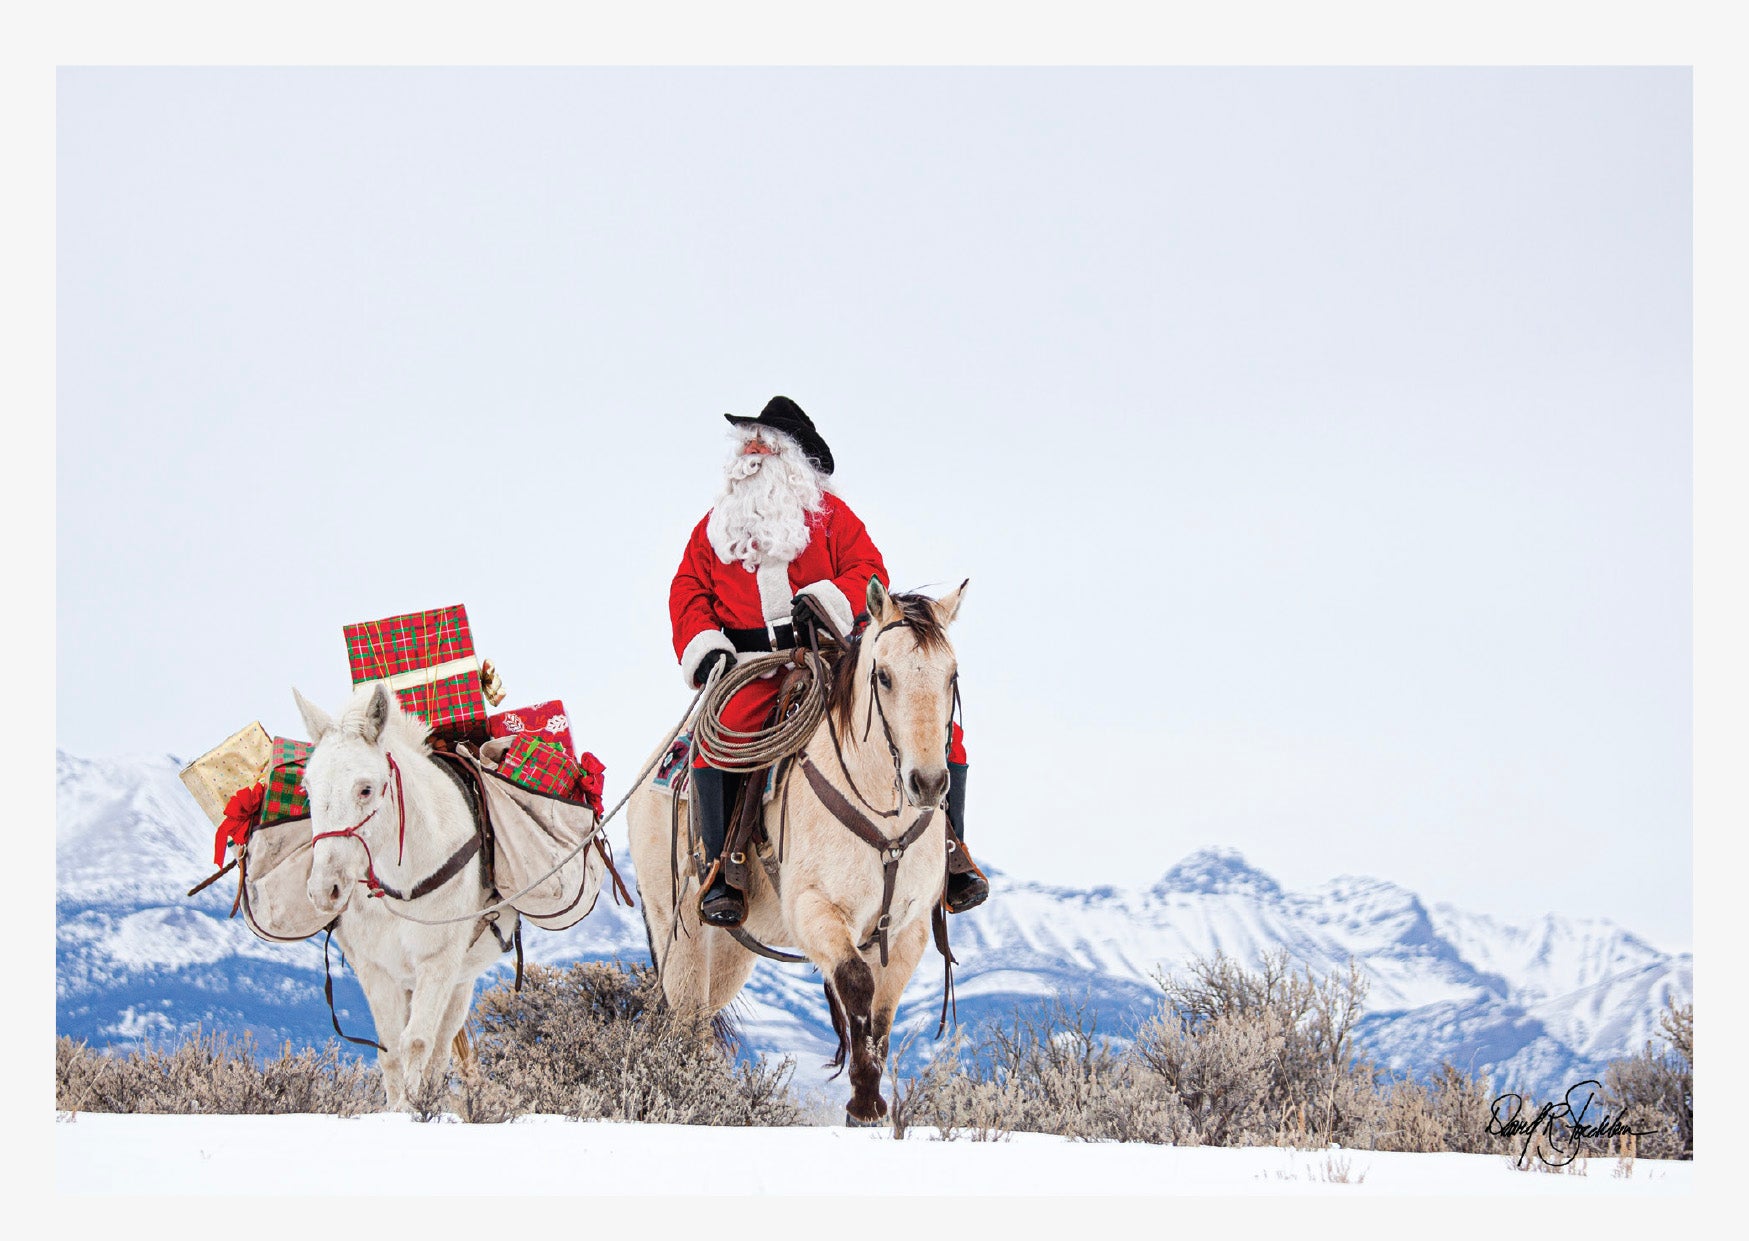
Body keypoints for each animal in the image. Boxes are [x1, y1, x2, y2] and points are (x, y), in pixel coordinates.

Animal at [290, 685, 510, 1111]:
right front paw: (397, 1108)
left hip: (461, 978)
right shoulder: (376, 968)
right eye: (307, 788)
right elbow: (390, 1048)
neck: (402, 884)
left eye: (365, 788)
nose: (324, 890)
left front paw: (416, 1108)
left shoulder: (438, 963)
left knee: (441, 1044)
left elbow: (419, 1042)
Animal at [626, 576, 972, 1132]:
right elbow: (855, 984)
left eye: (951, 675)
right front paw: (864, 1102)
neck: (884, 819)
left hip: (730, 952)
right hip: (679, 932)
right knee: (683, 1023)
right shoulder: (815, 910)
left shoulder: (909, 928)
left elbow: (882, 1014)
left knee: (698, 1020)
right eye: (884, 676)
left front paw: (867, 1109)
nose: (928, 783)